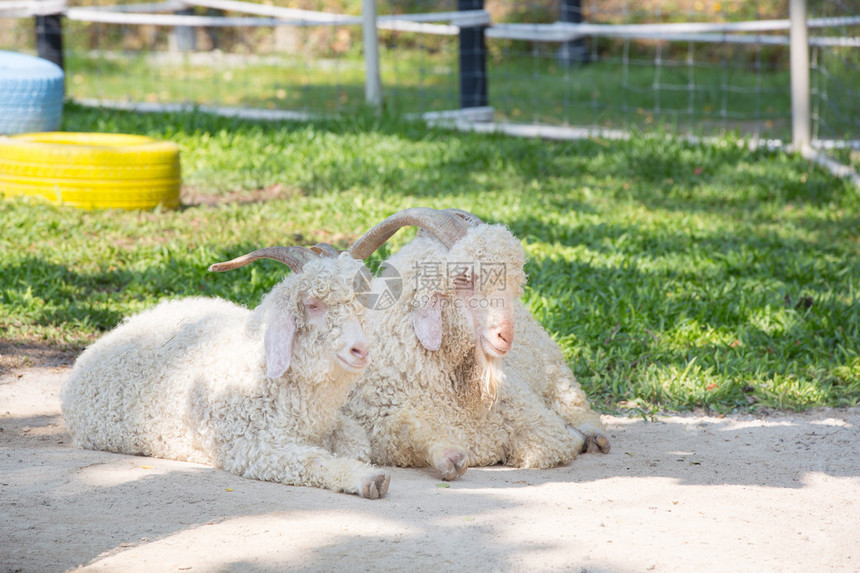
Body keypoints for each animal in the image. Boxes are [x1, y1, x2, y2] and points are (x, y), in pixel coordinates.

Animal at [62, 246, 392, 500]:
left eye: (359, 303)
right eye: (313, 305)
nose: (360, 350)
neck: (258, 368)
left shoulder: (332, 422)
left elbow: (356, 442)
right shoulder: (252, 448)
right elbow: (312, 460)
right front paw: (368, 479)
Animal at [346, 208, 608, 480]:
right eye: (464, 278)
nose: (506, 336)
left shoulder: (530, 412)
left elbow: (553, 443)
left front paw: (575, 436)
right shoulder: (377, 418)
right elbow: (405, 431)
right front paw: (447, 455)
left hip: (552, 367)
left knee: (572, 399)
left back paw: (594, 436)